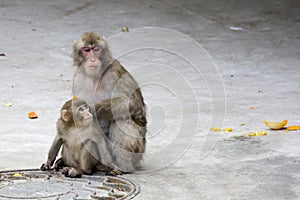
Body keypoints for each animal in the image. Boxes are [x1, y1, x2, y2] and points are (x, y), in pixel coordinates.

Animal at [72, 32, 148, 172]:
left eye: (96, 49)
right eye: (86, 50)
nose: (92, 59)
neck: (95, 77)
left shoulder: (114, 73)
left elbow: (133, 104)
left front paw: (94, 108)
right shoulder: (78, 79)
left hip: (138, 150)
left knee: (120, 121)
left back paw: (122, 167)